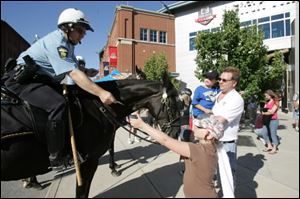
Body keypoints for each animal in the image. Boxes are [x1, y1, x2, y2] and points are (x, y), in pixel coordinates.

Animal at [1, 74, 180, 197]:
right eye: (173, 103)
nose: (177, 132)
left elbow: (111, 149)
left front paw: (114, 167)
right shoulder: (88, 162)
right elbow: (82, 191)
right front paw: (114, 168)